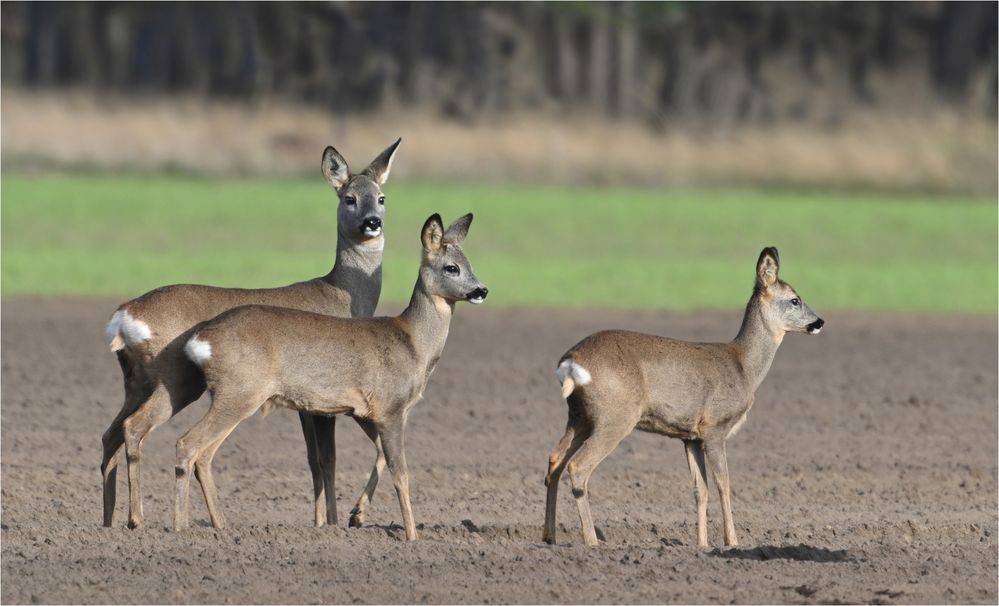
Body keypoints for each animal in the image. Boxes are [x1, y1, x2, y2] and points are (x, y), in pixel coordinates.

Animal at [99, 138, 400, 532]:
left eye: (381, 197)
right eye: (349, 198)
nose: (372, 223)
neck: (341, 294)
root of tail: (125, 315)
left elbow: (315, 460)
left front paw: (324, 522)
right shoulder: (323, 396)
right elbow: (330, 458)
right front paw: (344, 518)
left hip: (136, 382)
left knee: (111, 435)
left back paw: (110, 521)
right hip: (176, 379)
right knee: (137, 430)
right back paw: (139, 519)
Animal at [178, 214, 490, 540]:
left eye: (469, 263)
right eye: (451, 267)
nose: (482, 290)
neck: (413, 343)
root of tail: (200, 339)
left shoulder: (367, 411)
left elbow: (378, 456)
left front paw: (357, 516)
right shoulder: (390, 407)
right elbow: (401, 473)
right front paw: (412, 536)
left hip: (233, 396)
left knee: (203, 454)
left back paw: (215, 526)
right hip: (239, 393)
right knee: (189, 444)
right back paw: (181, 527)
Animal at [544, 247, 824, 548]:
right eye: (795, 299)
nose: (819, 322)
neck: (744, 367)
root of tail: (570, 362)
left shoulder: (691, 437)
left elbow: (700, 489)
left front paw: (702, 544)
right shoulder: (715, 427)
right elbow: (724, 484)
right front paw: (732, 541)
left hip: (579, 416)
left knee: (555, 461)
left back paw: (549, 536)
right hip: (615, 417)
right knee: (578, 467)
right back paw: (592, 541)